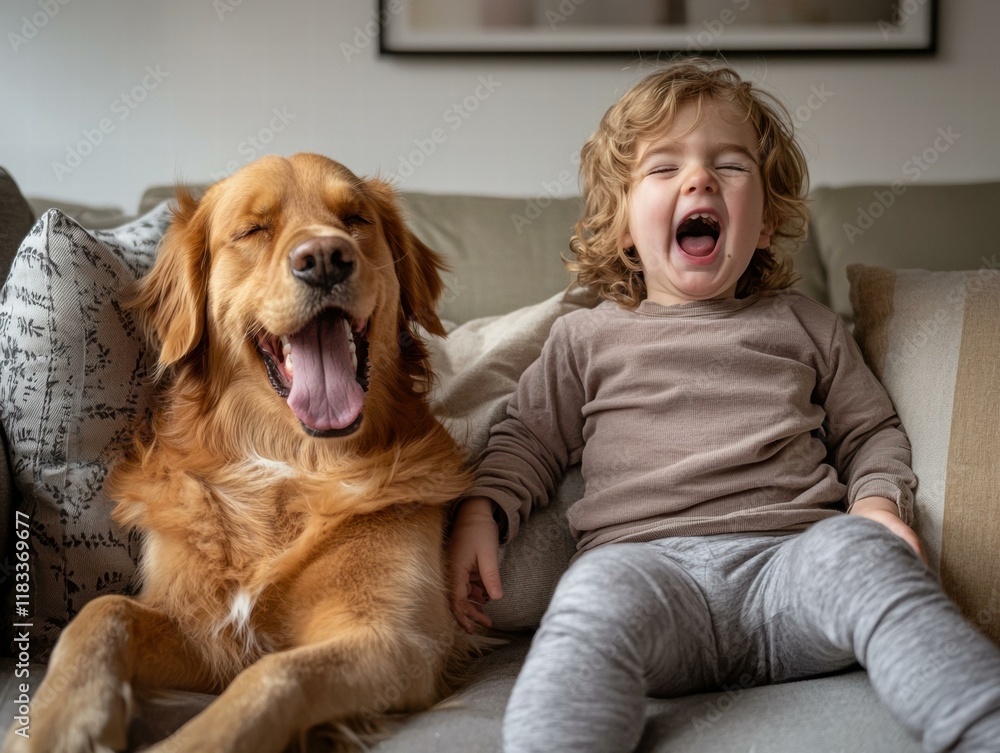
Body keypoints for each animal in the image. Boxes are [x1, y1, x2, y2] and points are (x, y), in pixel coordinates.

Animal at [4, 154, 476, 752]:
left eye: (355, 220)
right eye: (253, 231)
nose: (326, 258)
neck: (290, 464)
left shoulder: (395, 638)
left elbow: (275, 674)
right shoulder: (202, 630)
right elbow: (103, 611)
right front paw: (58, 720)